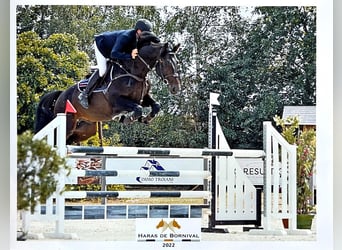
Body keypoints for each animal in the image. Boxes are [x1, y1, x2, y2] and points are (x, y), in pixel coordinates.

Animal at [34, 32, 182, 145]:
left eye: (177, 63)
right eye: (165, 63)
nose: (176, 88)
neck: (135, 73)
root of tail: (61, 95)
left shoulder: (142, 98)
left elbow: (155, 106)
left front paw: (146, 119)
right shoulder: (116, 101)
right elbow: (138, 109)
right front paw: (127, 119)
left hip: (86, 128)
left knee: (71, 139)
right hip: (67, 122)